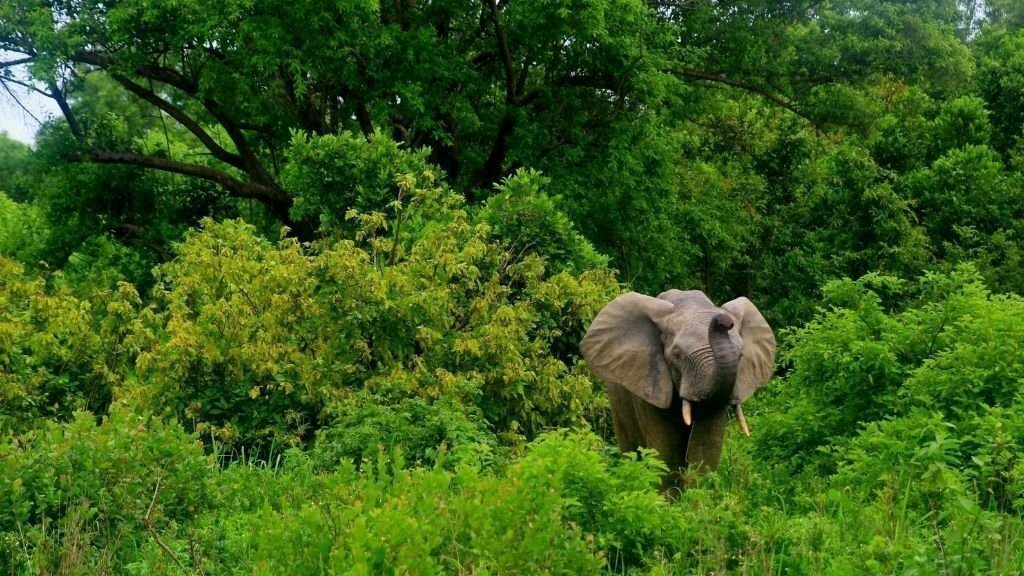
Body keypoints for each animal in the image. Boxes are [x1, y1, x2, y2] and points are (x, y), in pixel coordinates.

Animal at [580, 290, 776, 491]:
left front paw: (698, 498)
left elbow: (705, 447)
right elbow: (667, 451)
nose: (723, 321)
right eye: (677, 356)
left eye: (741, 356)